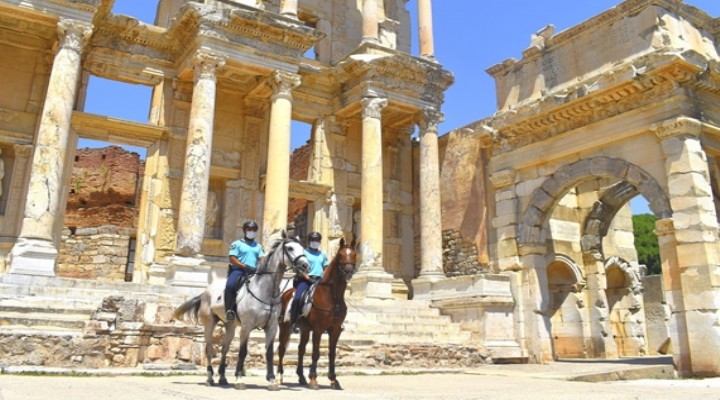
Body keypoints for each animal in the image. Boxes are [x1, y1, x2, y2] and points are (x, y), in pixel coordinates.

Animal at [176, 231, 310, 390]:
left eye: (302, 248)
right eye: (290, 248)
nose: (305, 265)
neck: (265, 291)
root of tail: (205, 292)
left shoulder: (272, 327)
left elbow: (269, 353)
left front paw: (271, 380)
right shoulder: (246, 326)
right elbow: (243, 351)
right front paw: (239, 378)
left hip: (230, 325)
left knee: (224, 348)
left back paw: (222, 377)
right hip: (209, 323)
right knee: (209, 348)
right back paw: (210, 378)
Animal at [278, 236, 358, 390]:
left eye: (354, 254)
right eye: (340, 255)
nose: (349, 271)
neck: (332, 295)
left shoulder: (335, 330)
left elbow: (332, 353)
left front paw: (333, 380)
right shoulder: (318, 329)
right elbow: (316, 353)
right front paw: (314, 379)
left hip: (304, 329)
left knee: (301, 349)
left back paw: (301, 377)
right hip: (285, 327)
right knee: (282, 348)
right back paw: (279, 377)